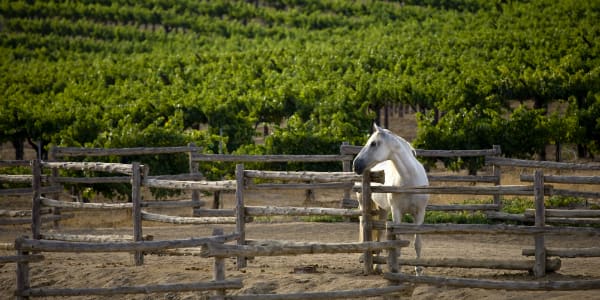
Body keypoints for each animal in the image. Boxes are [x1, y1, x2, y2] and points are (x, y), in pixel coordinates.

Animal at [354, 123, 428, 274]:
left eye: (373, 143)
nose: (356, 165)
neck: (409, 181)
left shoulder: (420, 213)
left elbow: (417, 243)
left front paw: (418, 271)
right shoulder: (396, 212)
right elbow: (397, 242)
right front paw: (396, 269)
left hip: (383, 210)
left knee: (380, 235)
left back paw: (378, 266)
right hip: (365, 206)